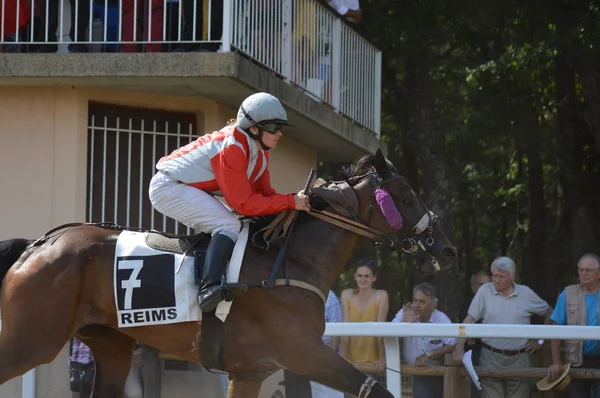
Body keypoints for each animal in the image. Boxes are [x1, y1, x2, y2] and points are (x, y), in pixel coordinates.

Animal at [0, 150, 454, 398]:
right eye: (407, 197)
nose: (446, 248)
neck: (290, 262)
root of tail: (37, 245)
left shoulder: (250, 370)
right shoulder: (305, 353)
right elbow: (376, 389)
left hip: (111, 342)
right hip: (30, 340)